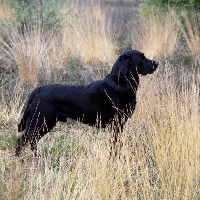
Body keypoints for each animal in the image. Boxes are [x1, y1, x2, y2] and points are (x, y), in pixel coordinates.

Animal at [15, 49, 159, 156]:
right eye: (142, 58)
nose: (157, 63)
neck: (121, 82)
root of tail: (38, 90)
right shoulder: (116, 124)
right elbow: (115, 145)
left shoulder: (119, 124)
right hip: (39, 122)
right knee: (22, 140)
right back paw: (20, 160)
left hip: (45, 123)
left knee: (32, 141)